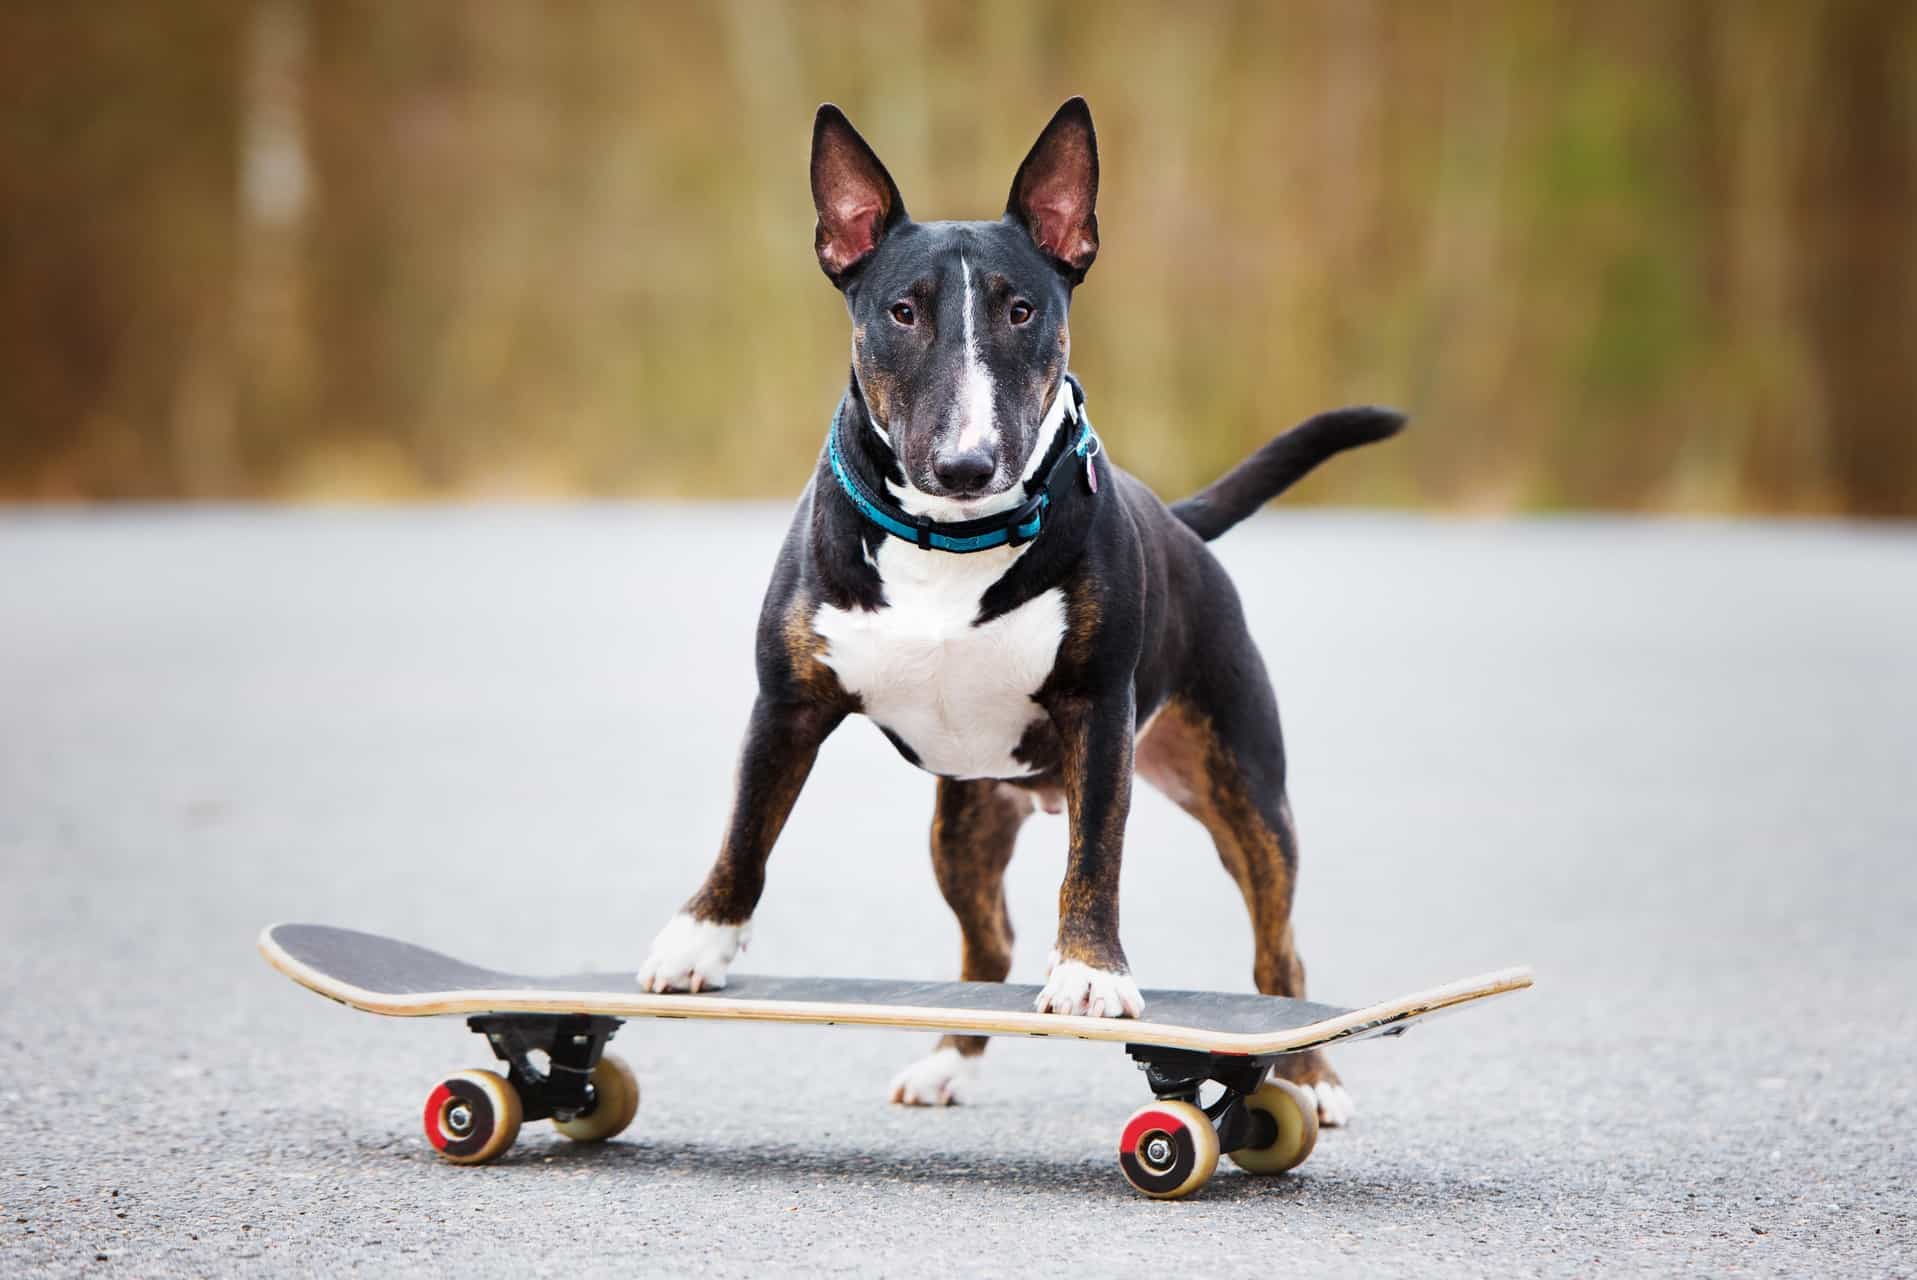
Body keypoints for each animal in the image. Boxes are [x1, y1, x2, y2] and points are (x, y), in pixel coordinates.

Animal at [636, 97, 1403, 1119]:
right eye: (902, 310)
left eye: (1021, 308)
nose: (967, 464)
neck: (949, 541)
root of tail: (1181, 522)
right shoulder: (787, 704)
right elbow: (747, 831)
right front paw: (697, 942)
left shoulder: (1097, 715)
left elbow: (1095, 860)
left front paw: (1090, 975)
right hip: (965, 817)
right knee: (985, 940)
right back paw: (946, 1061)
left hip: (1242, 784)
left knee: (1279, 949)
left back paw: (1312, 1081)